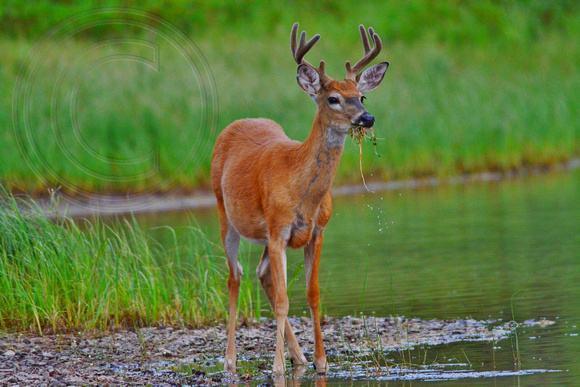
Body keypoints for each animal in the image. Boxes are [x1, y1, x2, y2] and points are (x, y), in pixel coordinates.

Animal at [211, 22, 388, 378]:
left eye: (361, 96)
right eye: (333, 98)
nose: (367, 118)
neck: (301, 190)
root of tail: (235, 123)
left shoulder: (316, 230)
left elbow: (312, 294)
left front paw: (320, 362)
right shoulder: (279, 230)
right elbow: (282, 301)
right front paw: (277, 368)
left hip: (263, 233)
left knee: (261, 273)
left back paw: (300, 357)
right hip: (225, 213)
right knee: (235, 276)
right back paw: (230, 360)